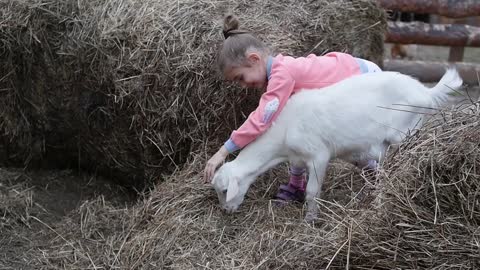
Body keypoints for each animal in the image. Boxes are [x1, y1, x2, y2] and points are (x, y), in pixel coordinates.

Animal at [212, 68, 464, 220]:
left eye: (225, 191)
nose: (226, 210)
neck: (283, 134)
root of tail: (426, 92)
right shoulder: (298, 157)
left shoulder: (318, 155)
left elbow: (312, 191)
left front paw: (311, 219)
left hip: (405, 131)